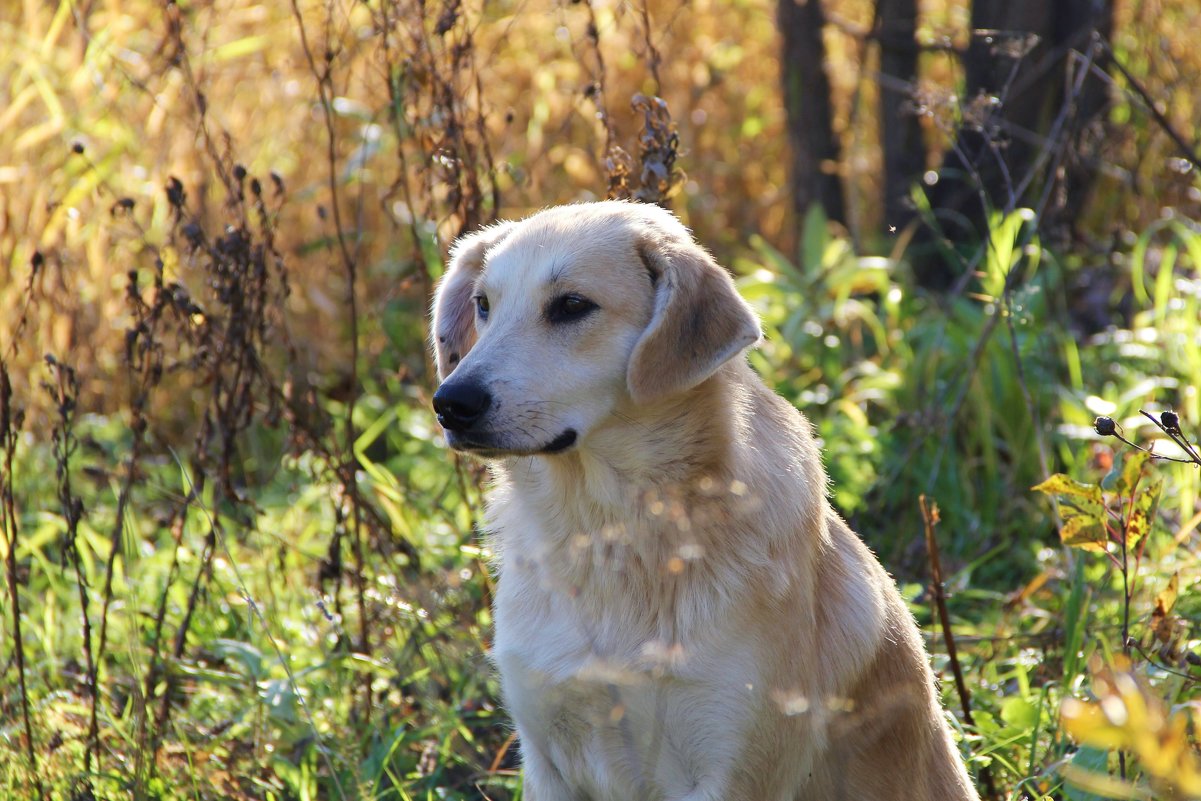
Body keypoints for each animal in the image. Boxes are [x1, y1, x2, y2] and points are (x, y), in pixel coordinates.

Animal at [429, 201, 975, 801]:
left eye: (572, 305)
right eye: (483, 305)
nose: (450, 403)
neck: (612, 534)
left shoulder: (731, 766)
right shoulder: (548, 759)